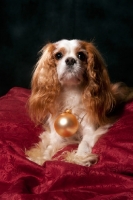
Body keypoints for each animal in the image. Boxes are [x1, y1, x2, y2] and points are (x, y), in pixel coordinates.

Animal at [25, 38, 133, 166]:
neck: (71, 90)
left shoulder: (90, 131)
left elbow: (84, 143)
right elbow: (50, 146)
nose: (70, 60)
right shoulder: (57, 134)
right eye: (58, 55)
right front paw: (41, 158)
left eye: (81, 55)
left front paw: (79, 157)